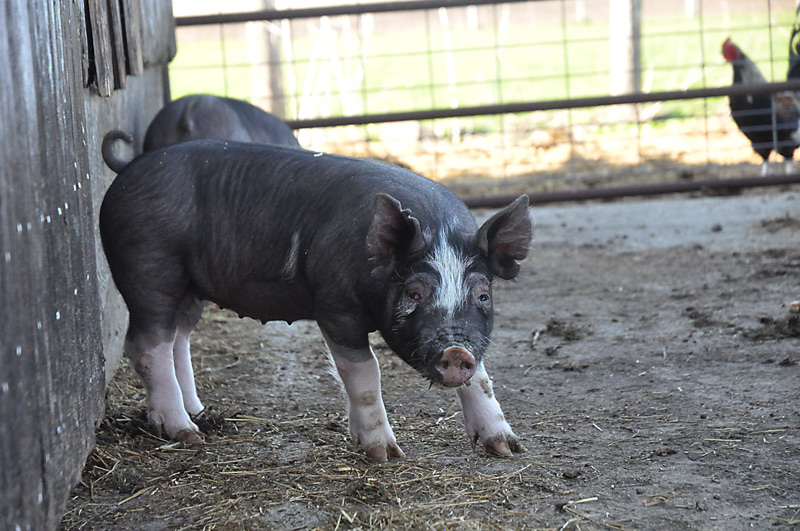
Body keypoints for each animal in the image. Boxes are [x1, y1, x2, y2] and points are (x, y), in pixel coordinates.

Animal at [99, 138, 532, 461]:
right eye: (414, 292)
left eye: (483, 294)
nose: (456, 351)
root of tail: (129, 168)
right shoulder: (335, 307)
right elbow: (365, 374)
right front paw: (384, 454)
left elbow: (483, 379)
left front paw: (507, 448)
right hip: (148, 266)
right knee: (145, 344)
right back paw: (186, 434)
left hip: (188, 287)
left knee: (177, 340)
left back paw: (198, 414)